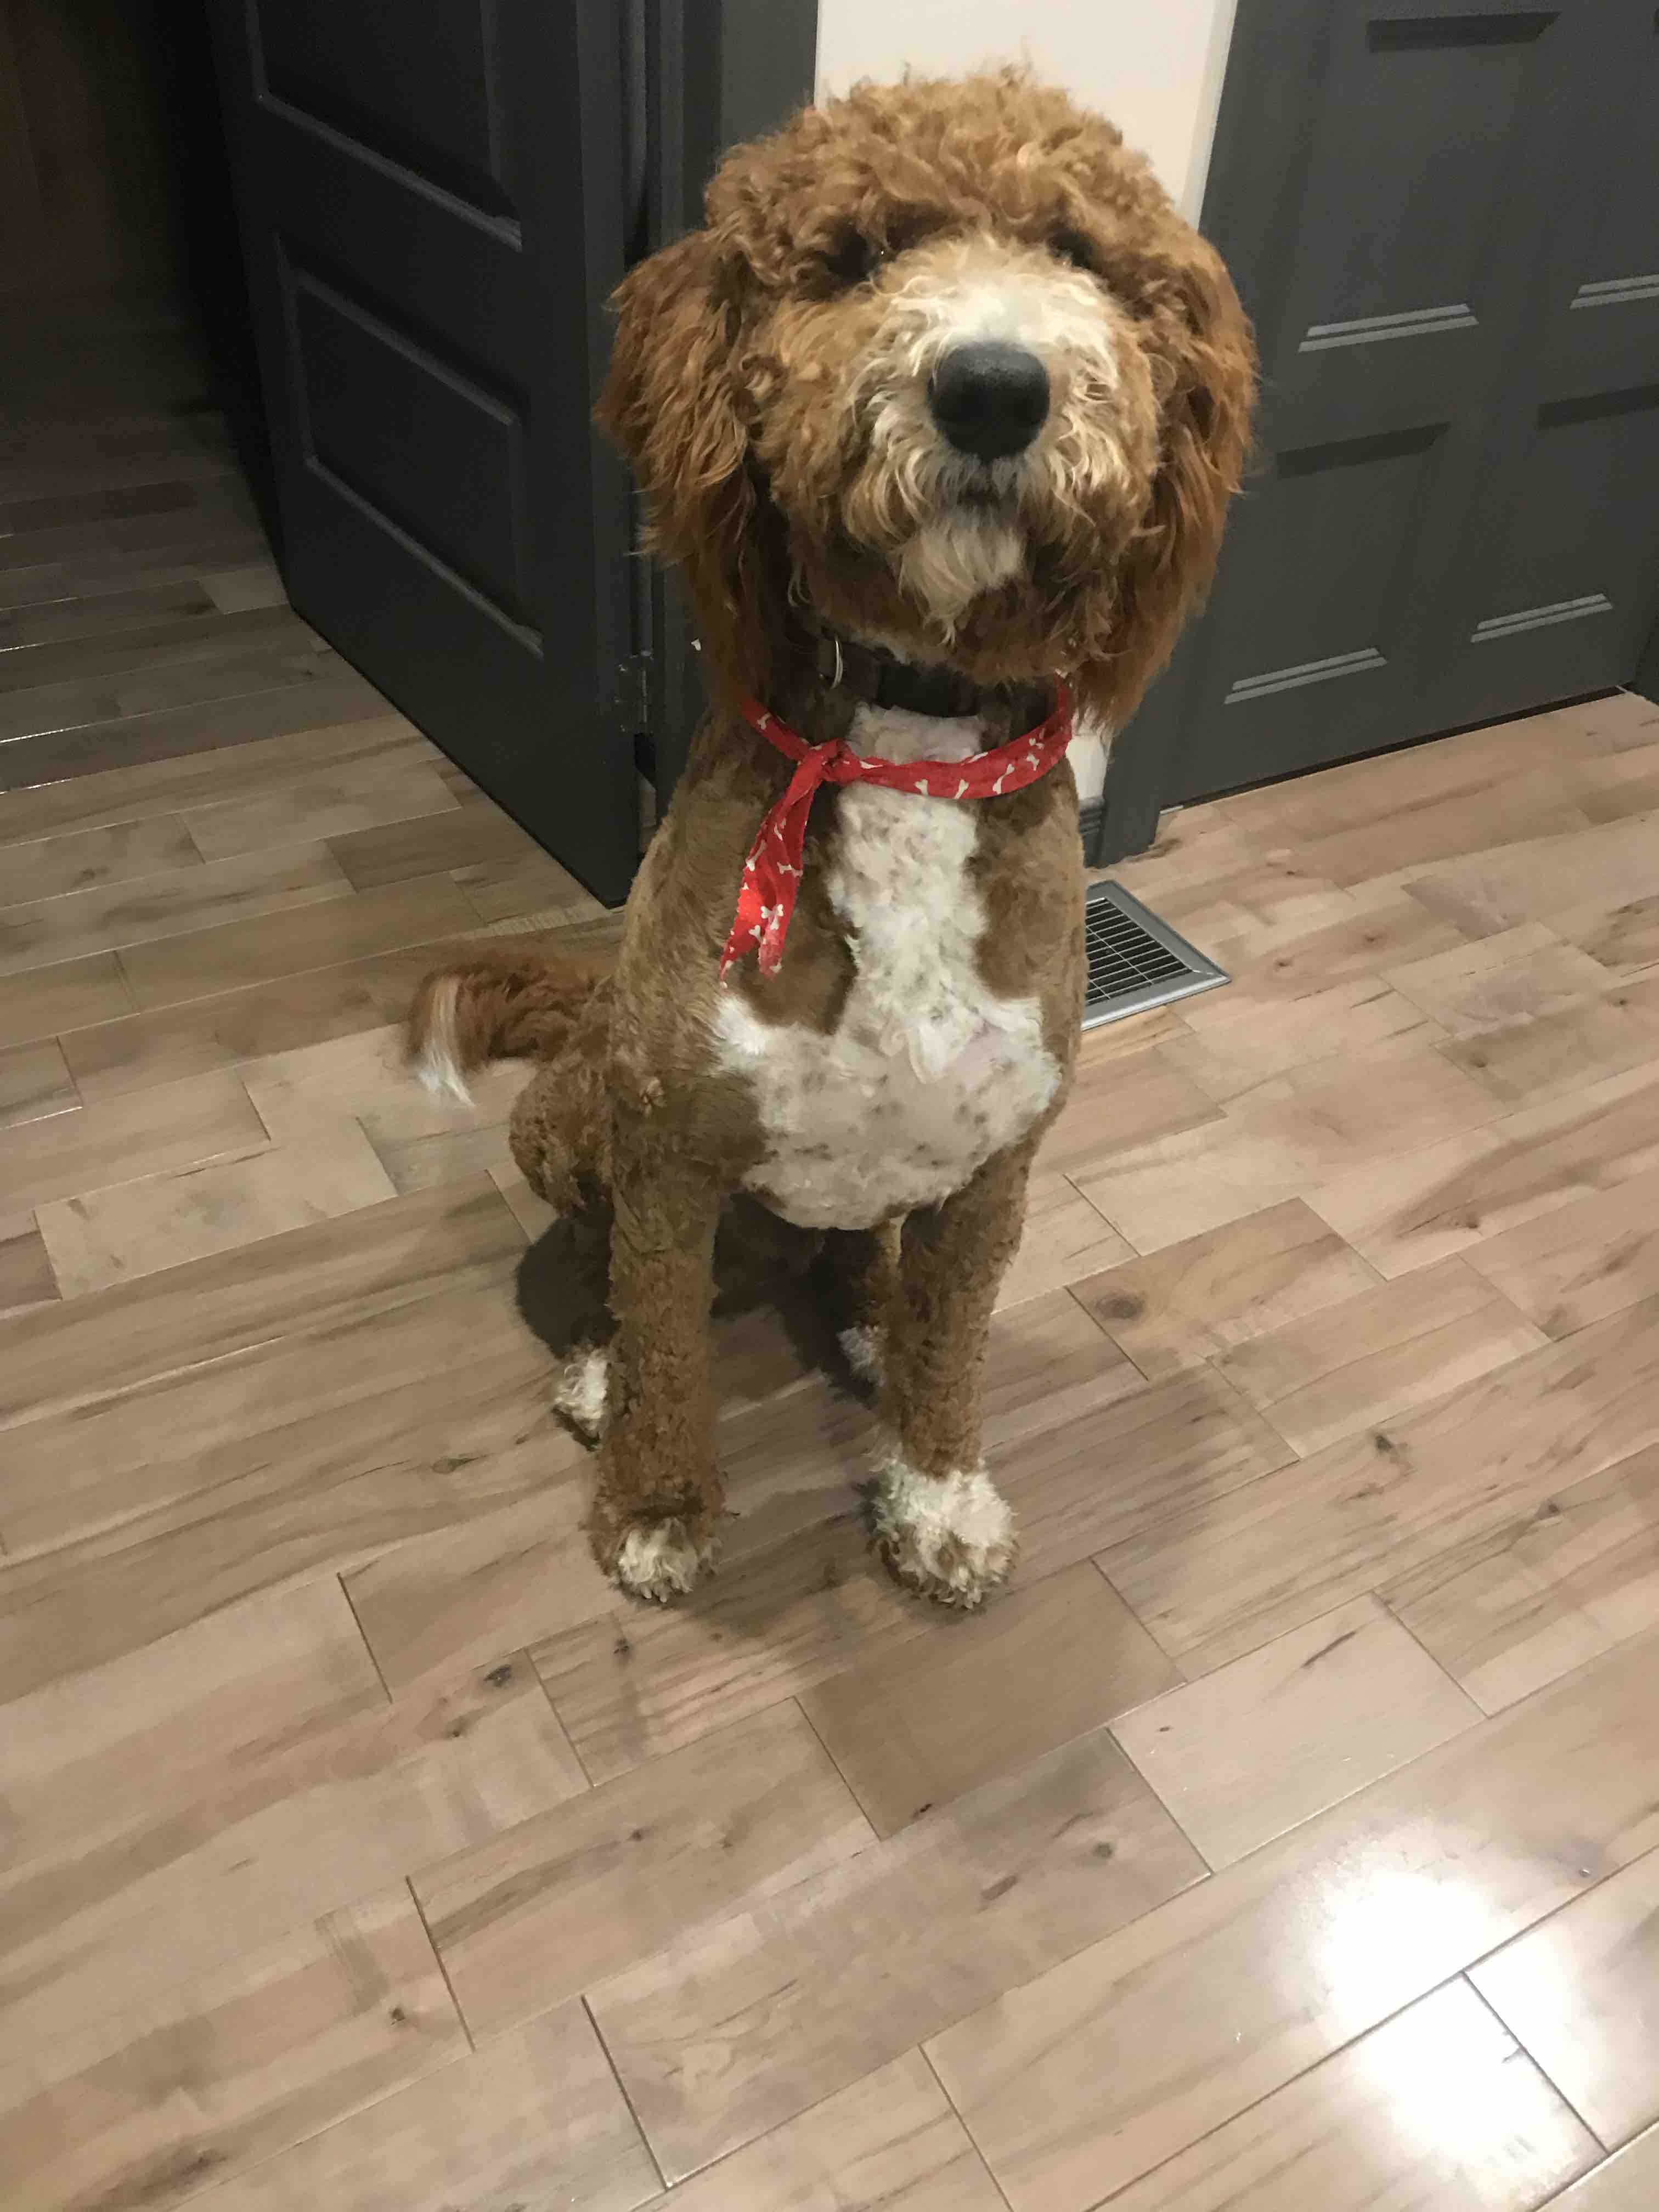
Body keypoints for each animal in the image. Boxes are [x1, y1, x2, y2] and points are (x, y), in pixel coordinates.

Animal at [408, 71, 1254, 1608]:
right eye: (860, 256)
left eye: (1080, 256)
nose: (996, 387)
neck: (903, 732)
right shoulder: (671, 1155)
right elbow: (669, 1345)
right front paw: (658, 1504)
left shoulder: (996, 1174)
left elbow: (957, 1349)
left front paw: (939, 1494)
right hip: (572, 1122)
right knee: (612, 1272)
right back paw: (603, 1370)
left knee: (870, 1262)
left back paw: (871, 1316)